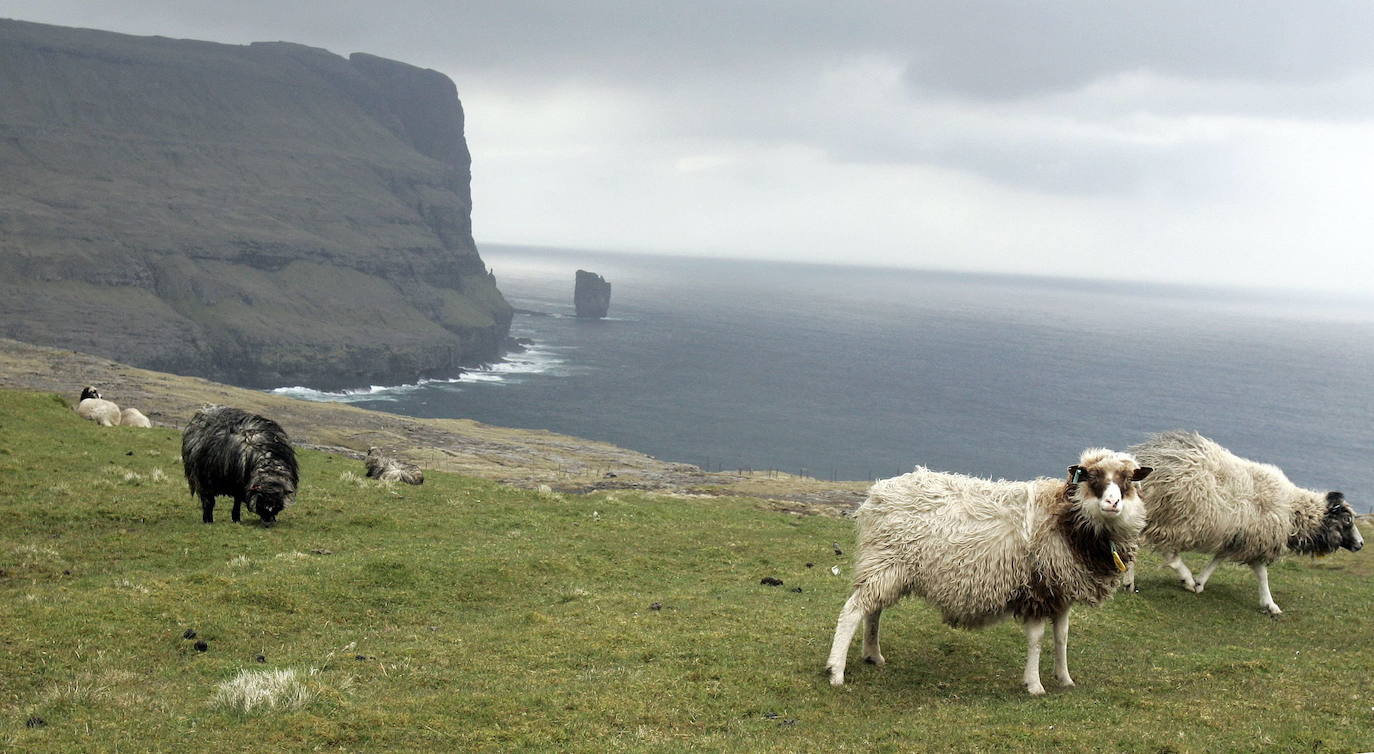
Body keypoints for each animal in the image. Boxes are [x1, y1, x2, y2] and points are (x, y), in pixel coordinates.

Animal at [824, 447, 1148, 694]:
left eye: (1128, 479)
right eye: (1092, 477)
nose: (1112, 502)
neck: (1066, 518)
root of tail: (878, 493)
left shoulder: (1061, 590)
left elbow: (1062, 637)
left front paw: (1065, 678)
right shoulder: (1036, 588)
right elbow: (1037, 640)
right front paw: (1034, 685)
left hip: (888, 569)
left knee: (873, 610)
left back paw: (872, 654)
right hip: (885, 560)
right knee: (853, 610)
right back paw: (836, 671)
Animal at [1126, 428, 1363, 612]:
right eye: (1347, 519)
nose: (1361, 544)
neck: (1292, 509)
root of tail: (1147, 457)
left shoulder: (1240, 534)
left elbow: (1218, 559)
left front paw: (1201, 582)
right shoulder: (1259, 538)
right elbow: (1262, 574)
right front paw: (1270, 604)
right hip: (1176, 517)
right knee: (1166, 553)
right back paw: (1179, 578)